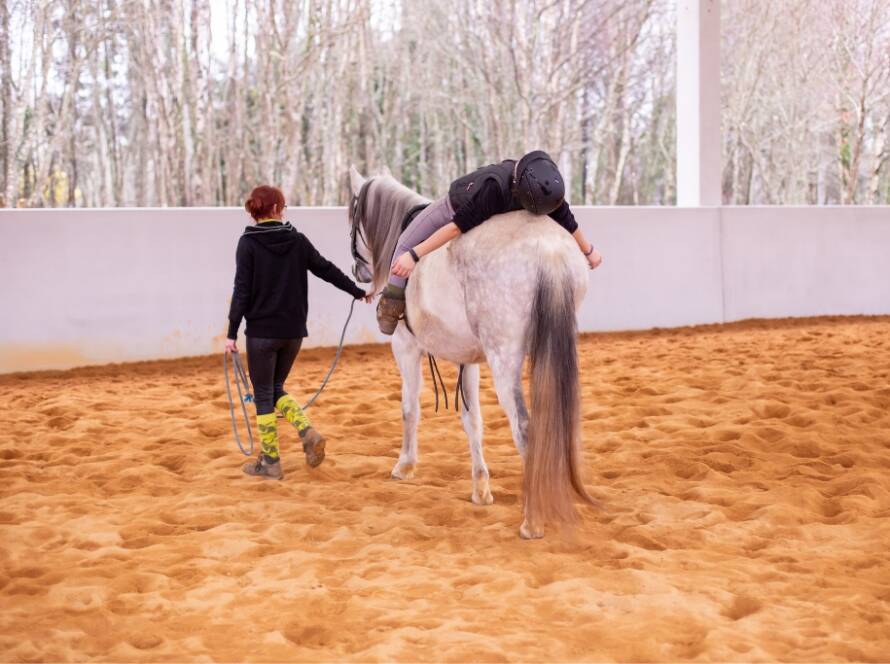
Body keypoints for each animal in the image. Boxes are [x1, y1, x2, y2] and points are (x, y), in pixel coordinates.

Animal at [350, 167, 592, 540]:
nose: (358, 272)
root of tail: (548, 251)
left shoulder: (405, 348)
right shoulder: (469, 360)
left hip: (504, 359)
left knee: (525, 426)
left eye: (352, 215)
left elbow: (409, 409)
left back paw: (532, 521)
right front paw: (480, 489)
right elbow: (472, 420)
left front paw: (405, 465)